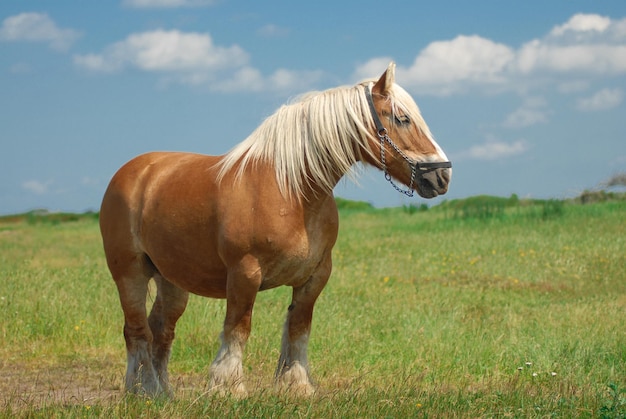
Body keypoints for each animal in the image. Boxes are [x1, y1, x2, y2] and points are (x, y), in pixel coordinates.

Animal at [98, 61, 448, 398]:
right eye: (402, 119)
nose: (442, 176)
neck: (291, 191)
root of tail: (133, 172)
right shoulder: (244, 273)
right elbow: (237, 329)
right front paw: (228, 386)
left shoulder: (315, 276)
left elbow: (298, 328)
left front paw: (296, 385)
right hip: (129, 272)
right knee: (137, 331)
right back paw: (143, 388)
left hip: (171, 280)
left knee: (161, 330)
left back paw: (162, 392)